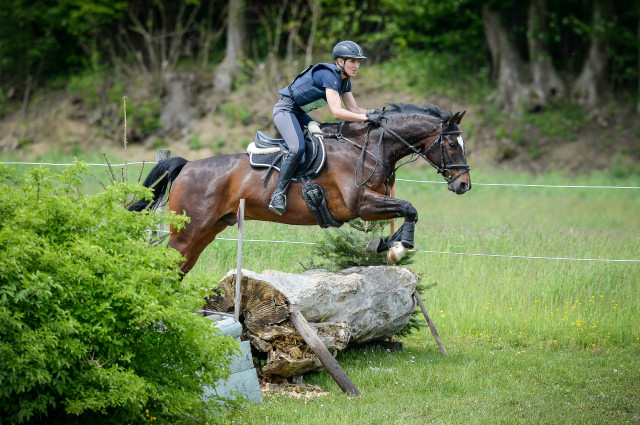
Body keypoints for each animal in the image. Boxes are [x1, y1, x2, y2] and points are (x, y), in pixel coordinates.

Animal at [129, 104, 470, 274]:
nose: (464, 184)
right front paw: (399, 248)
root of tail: (187, 166)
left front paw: (386, 245)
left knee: (179, 268)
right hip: (187, 232)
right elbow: (410, 208)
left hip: (207, 230)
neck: (366, 146)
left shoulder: (374, 203)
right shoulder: (360, 204)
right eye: (453, 144)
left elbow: (403, 213)